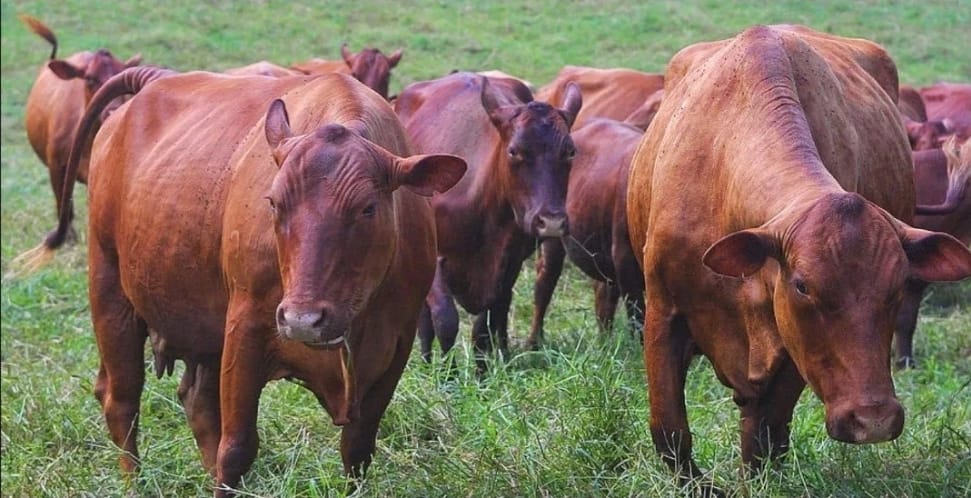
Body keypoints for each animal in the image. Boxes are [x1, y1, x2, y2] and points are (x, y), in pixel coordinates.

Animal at [18, 67, 465, 496]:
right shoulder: (246, 327)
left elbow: (356, 448)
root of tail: (154, 78)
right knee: (122, 400)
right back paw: (134, 484)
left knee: (195, 401)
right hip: (110, 289)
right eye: (274, 202)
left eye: (368, 208)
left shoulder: (397, 344)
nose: (303, 320)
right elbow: (236, 449)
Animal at [19, 14, 141, 243]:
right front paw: (68, 239)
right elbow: (63, 207)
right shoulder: (56, 166)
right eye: (90, 79)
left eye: (123, 75)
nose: (113, 110)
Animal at [394, 72, 581, 371]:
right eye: (514, 151)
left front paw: (482, 371)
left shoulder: (509, 261)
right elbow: (445, 320)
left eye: (570, 152)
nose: (551, 221)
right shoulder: (435, 258)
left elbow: (486, 322)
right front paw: (448, 375)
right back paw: (426, 359)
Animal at [528, 118, 645, 349]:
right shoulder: (625, 258)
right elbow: (637, 318)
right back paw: (534, 343)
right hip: (553, 239)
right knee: (544, 285)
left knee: (603, 298)